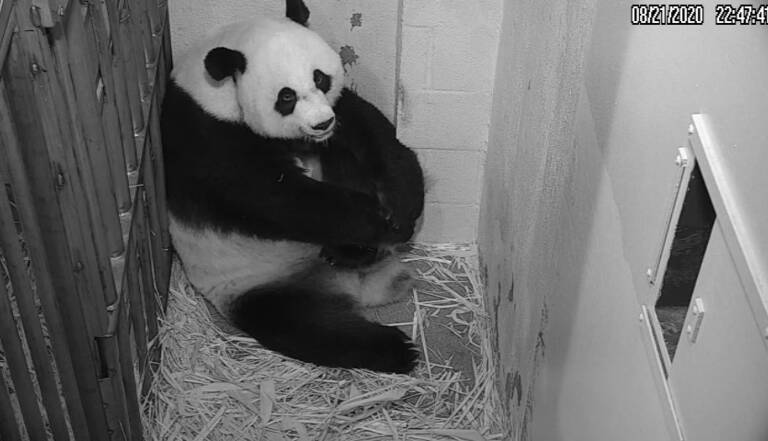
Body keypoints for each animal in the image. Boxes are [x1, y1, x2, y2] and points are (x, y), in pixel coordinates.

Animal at [162, 0, 426, 372]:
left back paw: (350, 255)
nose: (321, 123)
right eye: (286, 96)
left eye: (320, 77)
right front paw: (375, 219)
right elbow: (271, 197)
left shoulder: (339, 110)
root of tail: (352, 287)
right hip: (253, 285)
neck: (218, 91)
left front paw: (400, 212)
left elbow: (375, 137)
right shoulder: (205, 136)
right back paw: (397, 349)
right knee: (306, 327)